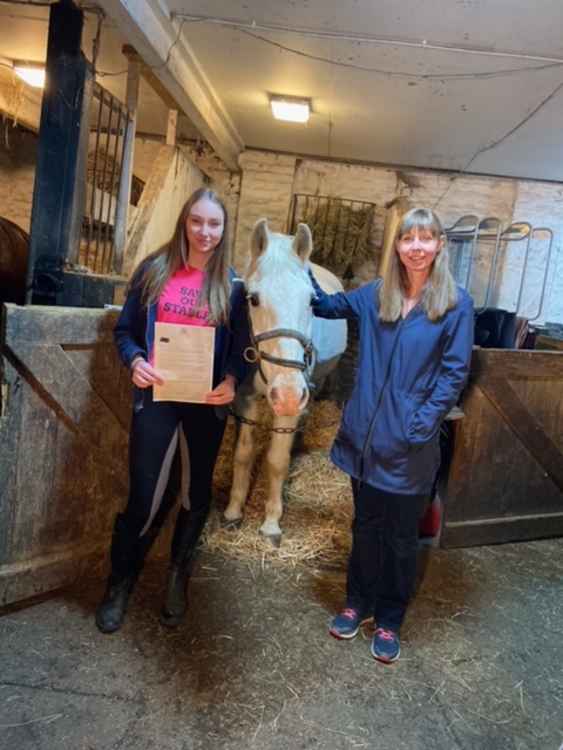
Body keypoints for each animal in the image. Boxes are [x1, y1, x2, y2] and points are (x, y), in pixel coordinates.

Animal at [221, 217, 346, 548]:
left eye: (312, 301)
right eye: (253, 299)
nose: (288, 394)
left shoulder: (292, 403)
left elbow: (277, 460)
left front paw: (271, 523)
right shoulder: (246, 398)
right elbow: (243, 454)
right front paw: (233, 511)